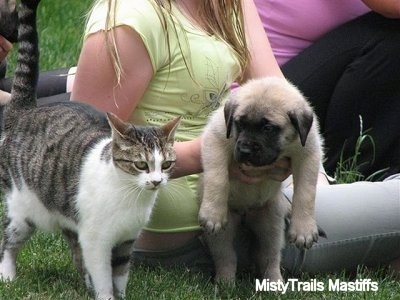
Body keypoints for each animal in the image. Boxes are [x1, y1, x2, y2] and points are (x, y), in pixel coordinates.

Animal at [0, 1, 180, 298]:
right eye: (141, 164)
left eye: (166, 164)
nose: (156, 181)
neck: (131, 197)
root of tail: (26, 111)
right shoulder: (95, 241)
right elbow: (103, 277)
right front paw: (105, 294)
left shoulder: (126, 241)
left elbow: (120, 275)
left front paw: (120, 294)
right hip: (22, 208)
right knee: (8, 240)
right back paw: (7, 276)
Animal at [198, 76, 324, 282]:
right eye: (240, 124)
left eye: (268, 128)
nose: (245, 150)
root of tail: (245, 214)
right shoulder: (216, 138)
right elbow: (217, 178)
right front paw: (212, 213)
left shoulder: (308, 154)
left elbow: (306, 193)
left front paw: (303, 229)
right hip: (224, 233)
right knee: (226, 256)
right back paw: (225, 281)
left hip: (271, 225)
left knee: (268, 257)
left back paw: (274, 283)